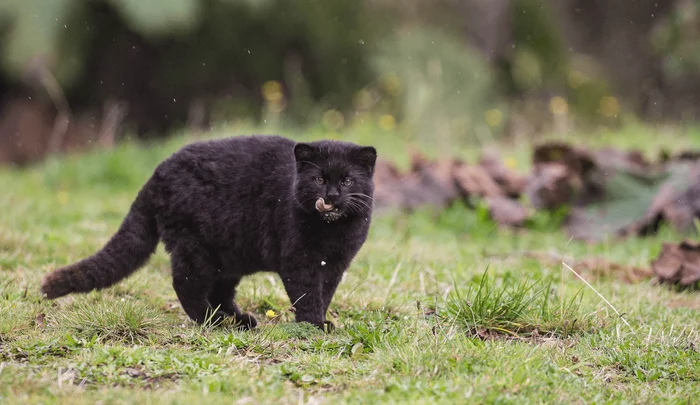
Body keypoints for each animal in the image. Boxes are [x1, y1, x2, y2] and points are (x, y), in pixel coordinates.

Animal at [40, 134, 374, 330]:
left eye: (346, 180)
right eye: (318, 179)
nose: (331, 196)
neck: (333, 231)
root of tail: (157, 173)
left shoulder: (335, 264)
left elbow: (325, 292)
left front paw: (322, 320)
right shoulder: (298, 261)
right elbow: (306, 294)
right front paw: (313, 325)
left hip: (229, 253)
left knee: (219, 291)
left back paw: (238, 320)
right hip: (194, 247)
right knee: (186, 285)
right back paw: (211, 321)